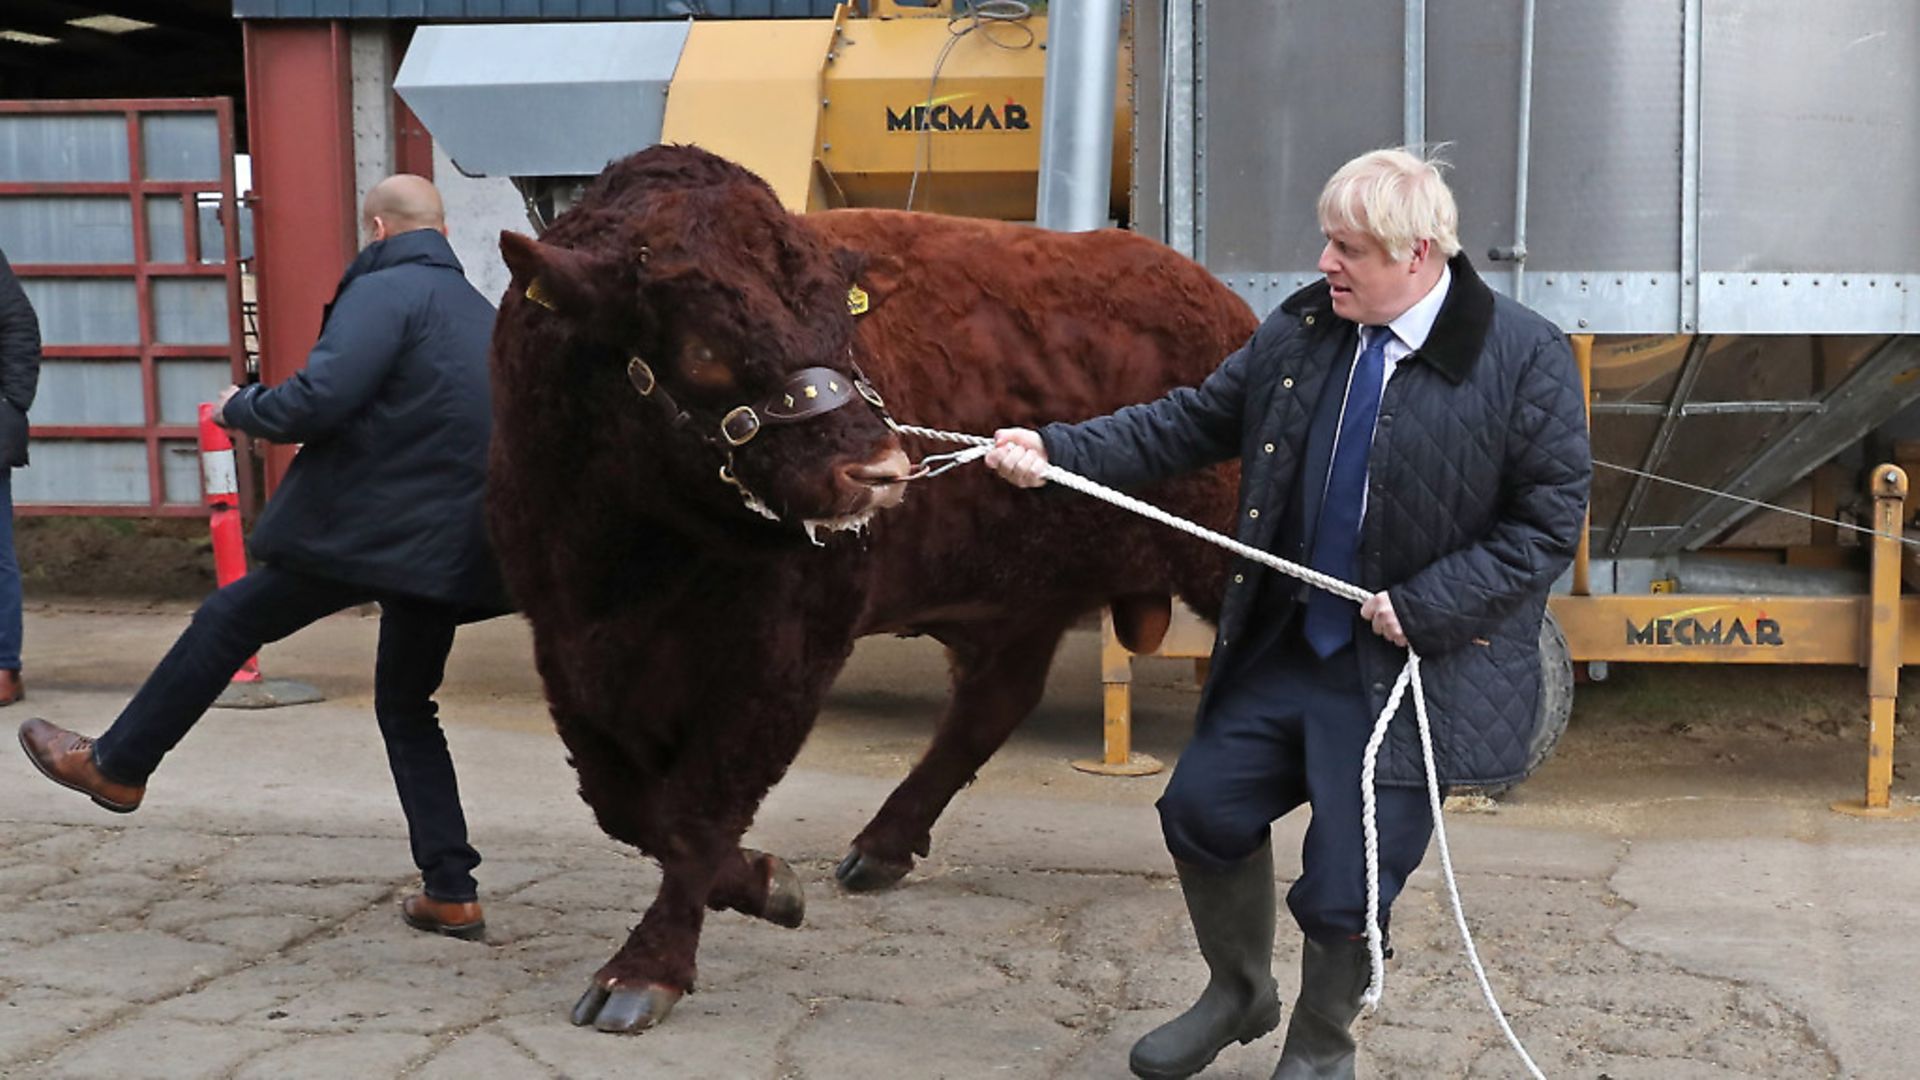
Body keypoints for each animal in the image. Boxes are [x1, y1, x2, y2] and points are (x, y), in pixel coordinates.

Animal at [487, 143, 1251, 1022]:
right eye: (703, 347)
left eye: (842, 326)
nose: (881, 471)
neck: (629, 555)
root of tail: (1219, 301)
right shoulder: (566, 645)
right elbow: (627, 805)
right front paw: (765, 884)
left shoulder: (787, 653)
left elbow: (699, 808)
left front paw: (648, 969)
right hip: (1024, 597)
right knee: (992, 705)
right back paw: (881, 848)